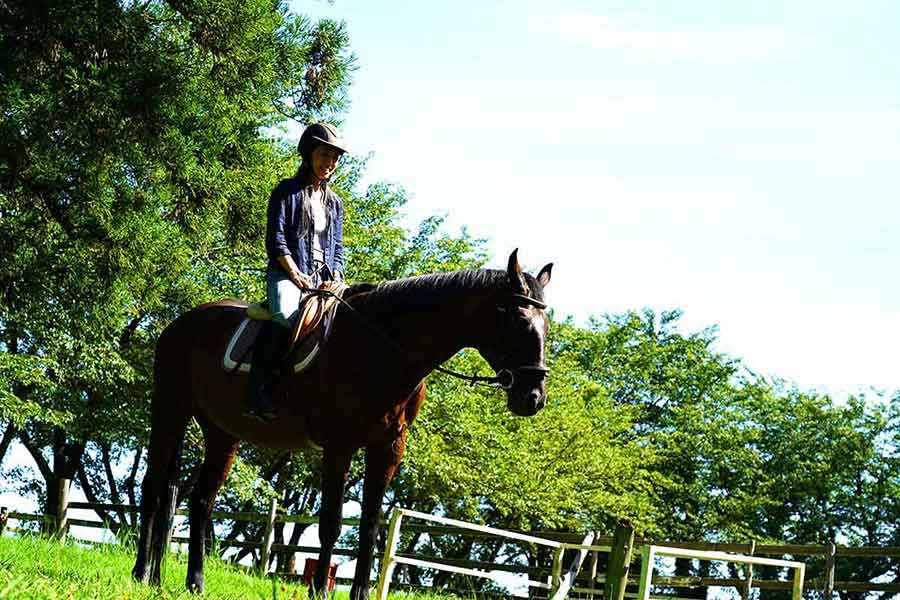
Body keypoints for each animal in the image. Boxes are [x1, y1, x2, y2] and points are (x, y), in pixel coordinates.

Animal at [131, 249, 553, 598]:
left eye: (546, 325)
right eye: (517, 319)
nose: (533, 397)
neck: (384, 349)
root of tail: (183, 323)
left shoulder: (387, 449)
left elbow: (369, 527)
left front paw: (360, 594)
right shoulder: (339, 445)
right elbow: (331, 523)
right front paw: (319, 590)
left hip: (222, 433)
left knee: (201, 500)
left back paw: (192, 582)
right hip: (169, 410)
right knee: (153, 488)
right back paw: (142, 574)